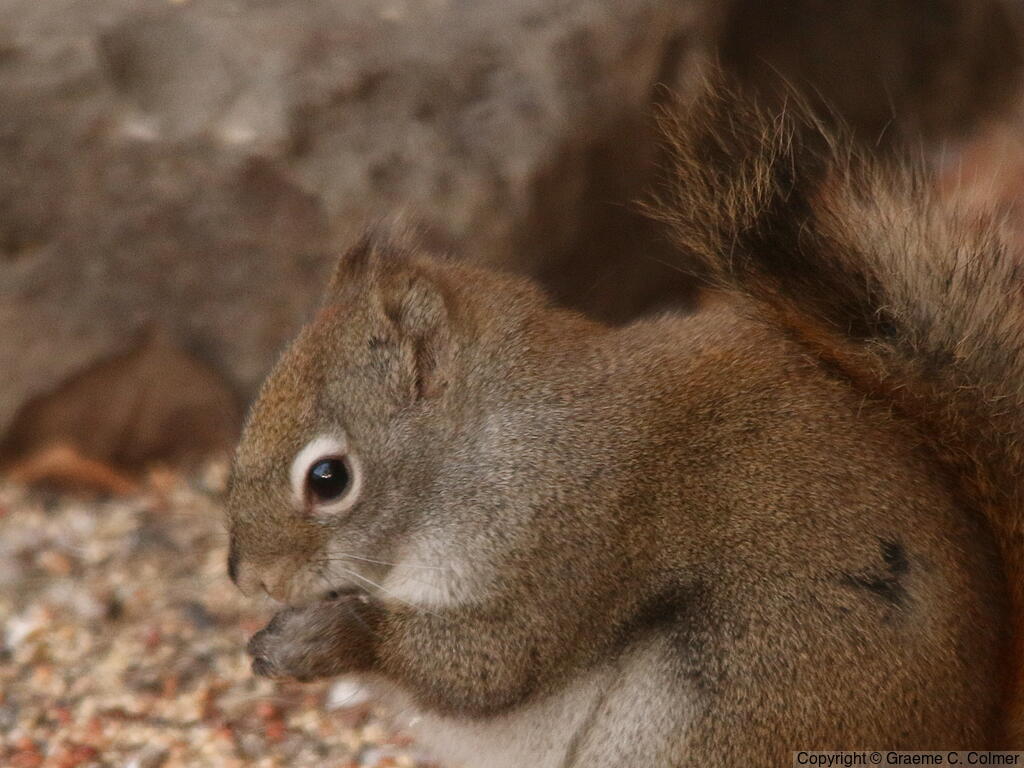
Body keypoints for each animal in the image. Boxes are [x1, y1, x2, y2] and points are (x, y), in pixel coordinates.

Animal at [225, 84, 1024, 766]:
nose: (248, 579)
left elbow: (491, 662)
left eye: (330, 478)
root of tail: (972, 727)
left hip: (723, 711)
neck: (475, 451)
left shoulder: (572, 529)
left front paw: (327, 639)